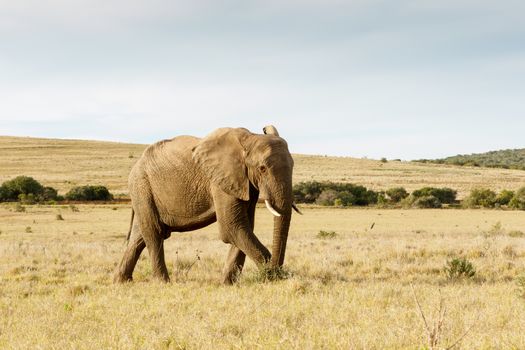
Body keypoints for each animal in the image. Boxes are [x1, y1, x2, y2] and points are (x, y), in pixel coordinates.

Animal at [113, 126, 298, 284]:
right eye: (262, 168)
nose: (279, 272)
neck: (251, 138)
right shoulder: (220, 180)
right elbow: (232, 227)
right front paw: (271, 276)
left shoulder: (245, 183)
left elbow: (244, 226)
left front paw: (227, 284)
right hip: (141, 186)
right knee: (154, 233)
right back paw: (162, 283)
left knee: (139, 237)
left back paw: (121, 281)